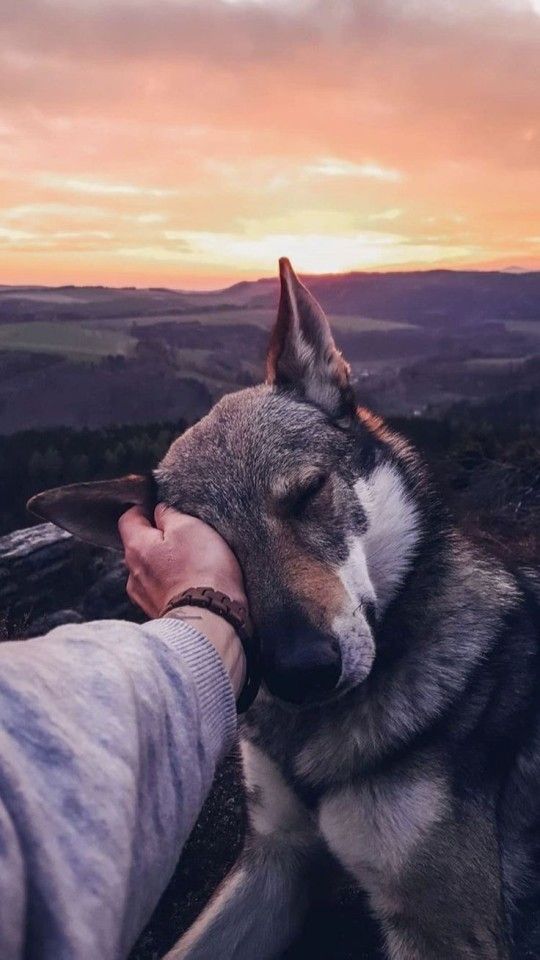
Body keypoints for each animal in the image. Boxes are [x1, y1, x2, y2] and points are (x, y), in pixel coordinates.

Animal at [29, 258, 540, 956]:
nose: (303, 671)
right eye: (218, 547)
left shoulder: (445, 927)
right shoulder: (273, 861)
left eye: (308, 494)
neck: (314, 739)